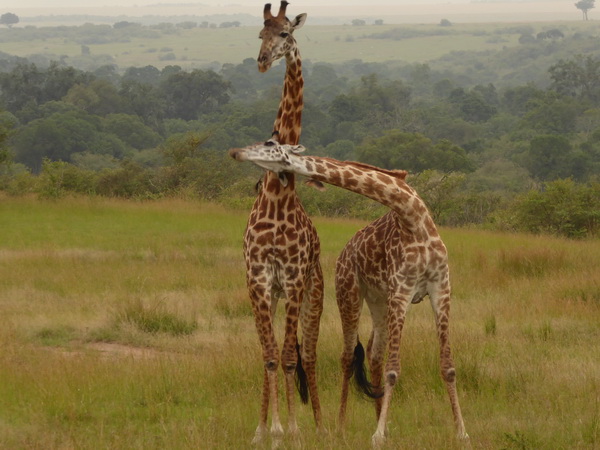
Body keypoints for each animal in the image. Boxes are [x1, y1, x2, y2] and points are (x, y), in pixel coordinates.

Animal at [227, 140, 466, 446]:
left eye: (270, 144)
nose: (236, 153)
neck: (413, 216)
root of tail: (343, 254)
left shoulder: (440, 287)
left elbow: (448, 366)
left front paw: (461, 432)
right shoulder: (402, 290)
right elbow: (393, 369)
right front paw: (377, 436)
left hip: (379, 301)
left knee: (374, 354)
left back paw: (376, 422)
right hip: (350, 293)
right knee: (348, 355)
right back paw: (340, 427)